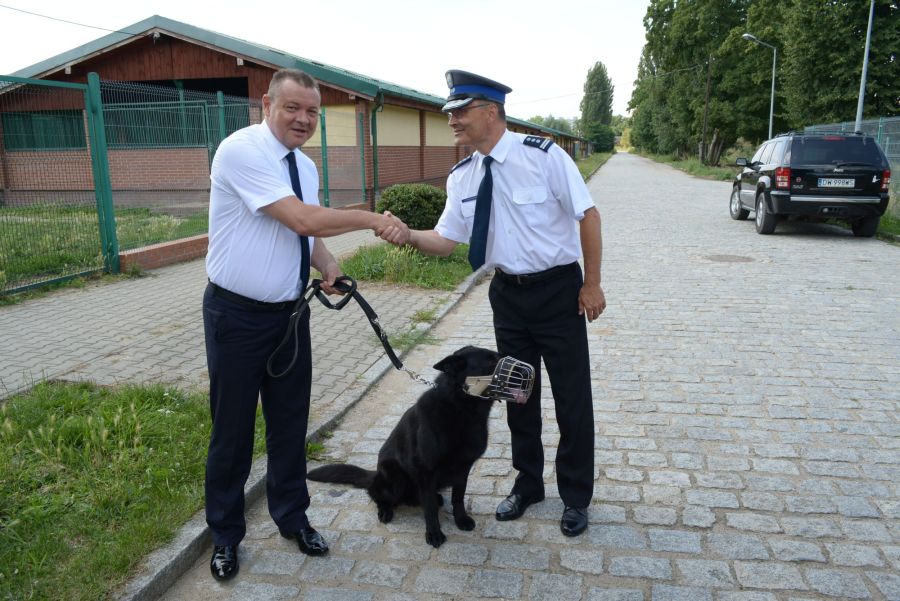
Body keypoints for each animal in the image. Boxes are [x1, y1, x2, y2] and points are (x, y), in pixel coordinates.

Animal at [306, 344, 502, 548]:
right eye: (491, 361)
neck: (460, 409)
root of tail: (376, 475)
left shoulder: (463, 469)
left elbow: (458, 497)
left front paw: (461, 519)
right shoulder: (426, 472)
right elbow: (430, 508)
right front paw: (434, 533)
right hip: (395, 478)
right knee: (376, 493)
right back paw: (385, 509)